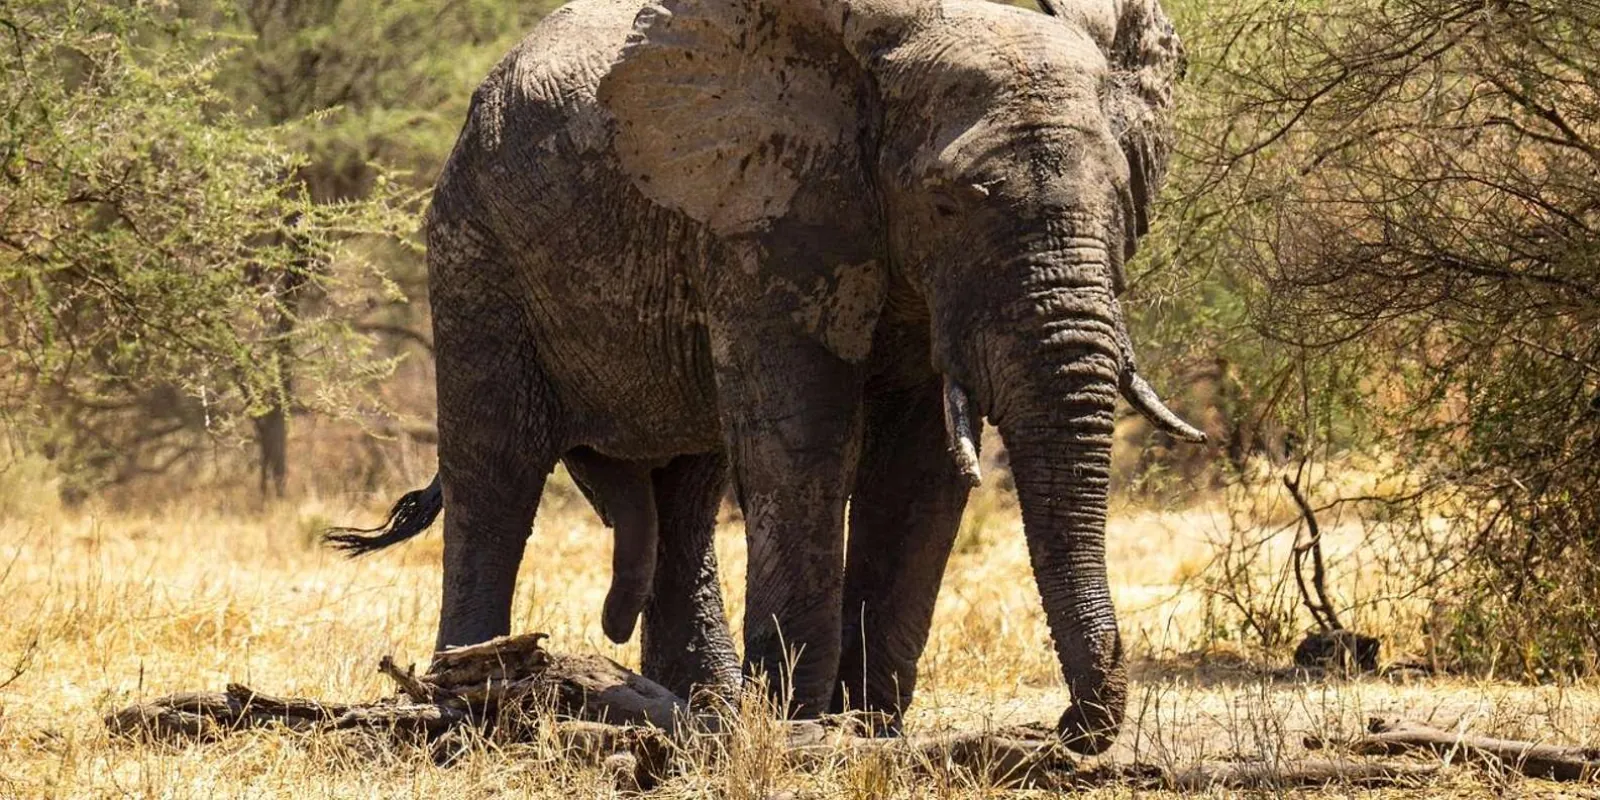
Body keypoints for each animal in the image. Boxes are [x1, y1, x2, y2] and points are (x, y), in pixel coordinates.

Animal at [327, 0, 1202, 753]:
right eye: (950, 203)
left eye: (1123, 198)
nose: (1067, 728)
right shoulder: (770, 212)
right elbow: (804, 444)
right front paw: (801, 731)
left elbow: (918, 471)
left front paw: (867, 732)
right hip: (474, 250)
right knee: (497, 474)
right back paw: (463, 701)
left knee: (686, 495)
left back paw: (698, 708)